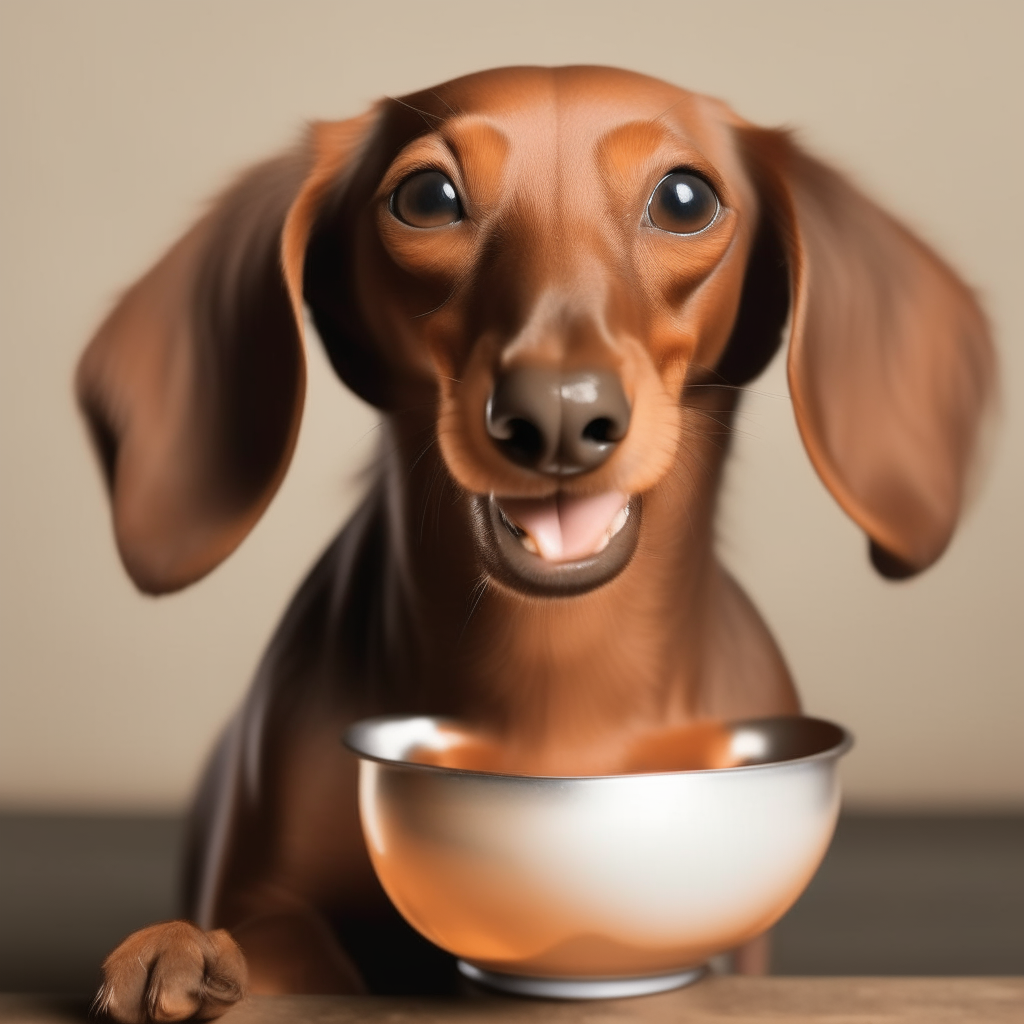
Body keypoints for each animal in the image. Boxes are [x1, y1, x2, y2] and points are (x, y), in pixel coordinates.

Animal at [77, 68, 991, 1019]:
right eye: (427, 197)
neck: (558, 679)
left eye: (686, 198)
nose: (556, 415)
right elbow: (285, 946)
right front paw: (185, 952)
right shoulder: (269, 895)